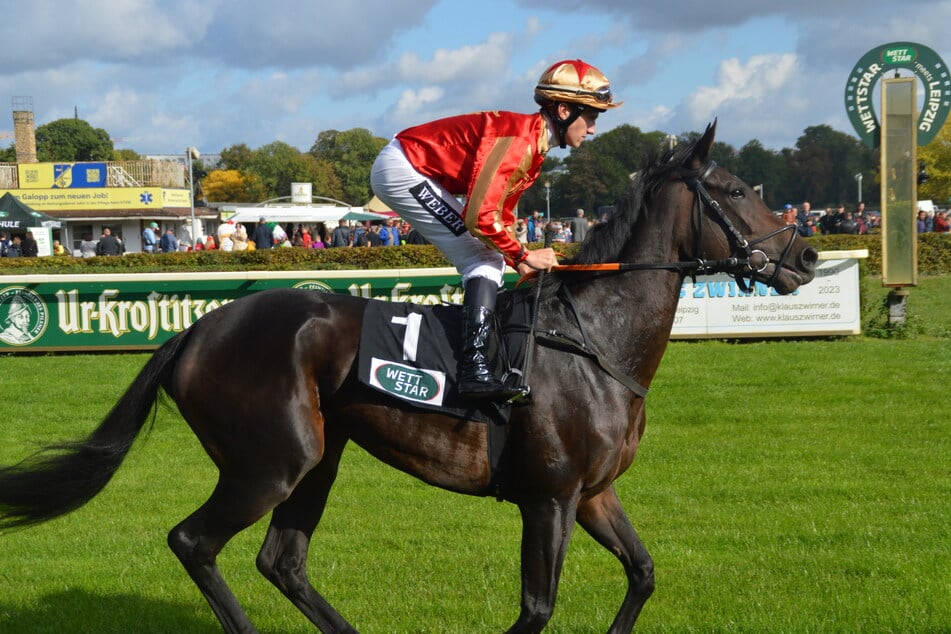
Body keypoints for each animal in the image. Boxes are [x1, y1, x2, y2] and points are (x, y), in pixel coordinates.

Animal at [0, 121, 820, 628]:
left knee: (282, 562)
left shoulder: (591, 493)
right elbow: (536, 609)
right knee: (194, 542)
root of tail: (198, 328)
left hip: (318, 458)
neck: (595, 342)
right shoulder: (547, 498)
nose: (808, 256)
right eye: (736, 190)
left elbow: (643, 573)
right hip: (272, 461)